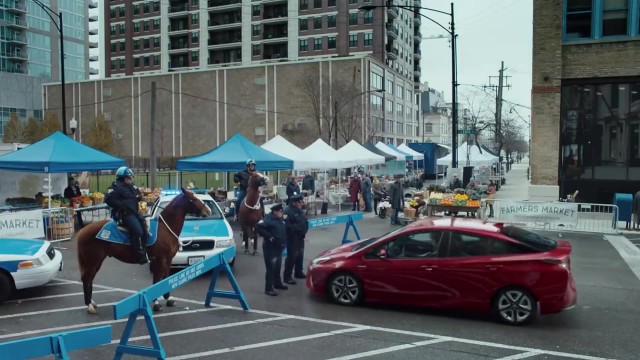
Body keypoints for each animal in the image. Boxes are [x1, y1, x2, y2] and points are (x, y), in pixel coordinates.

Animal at [76, 187, 209, 314]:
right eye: (193, 199)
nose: (208, 211)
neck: (165, 229)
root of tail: (83, 231)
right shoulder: (160, 260)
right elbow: (157, 280)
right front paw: (156, 304)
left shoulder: (168, 260)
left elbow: (166, 279)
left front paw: (168, 299)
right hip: (93, 261)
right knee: (87, 279)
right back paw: (89, 305)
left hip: (95, 262)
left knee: (89, 280)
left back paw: (91, 303)